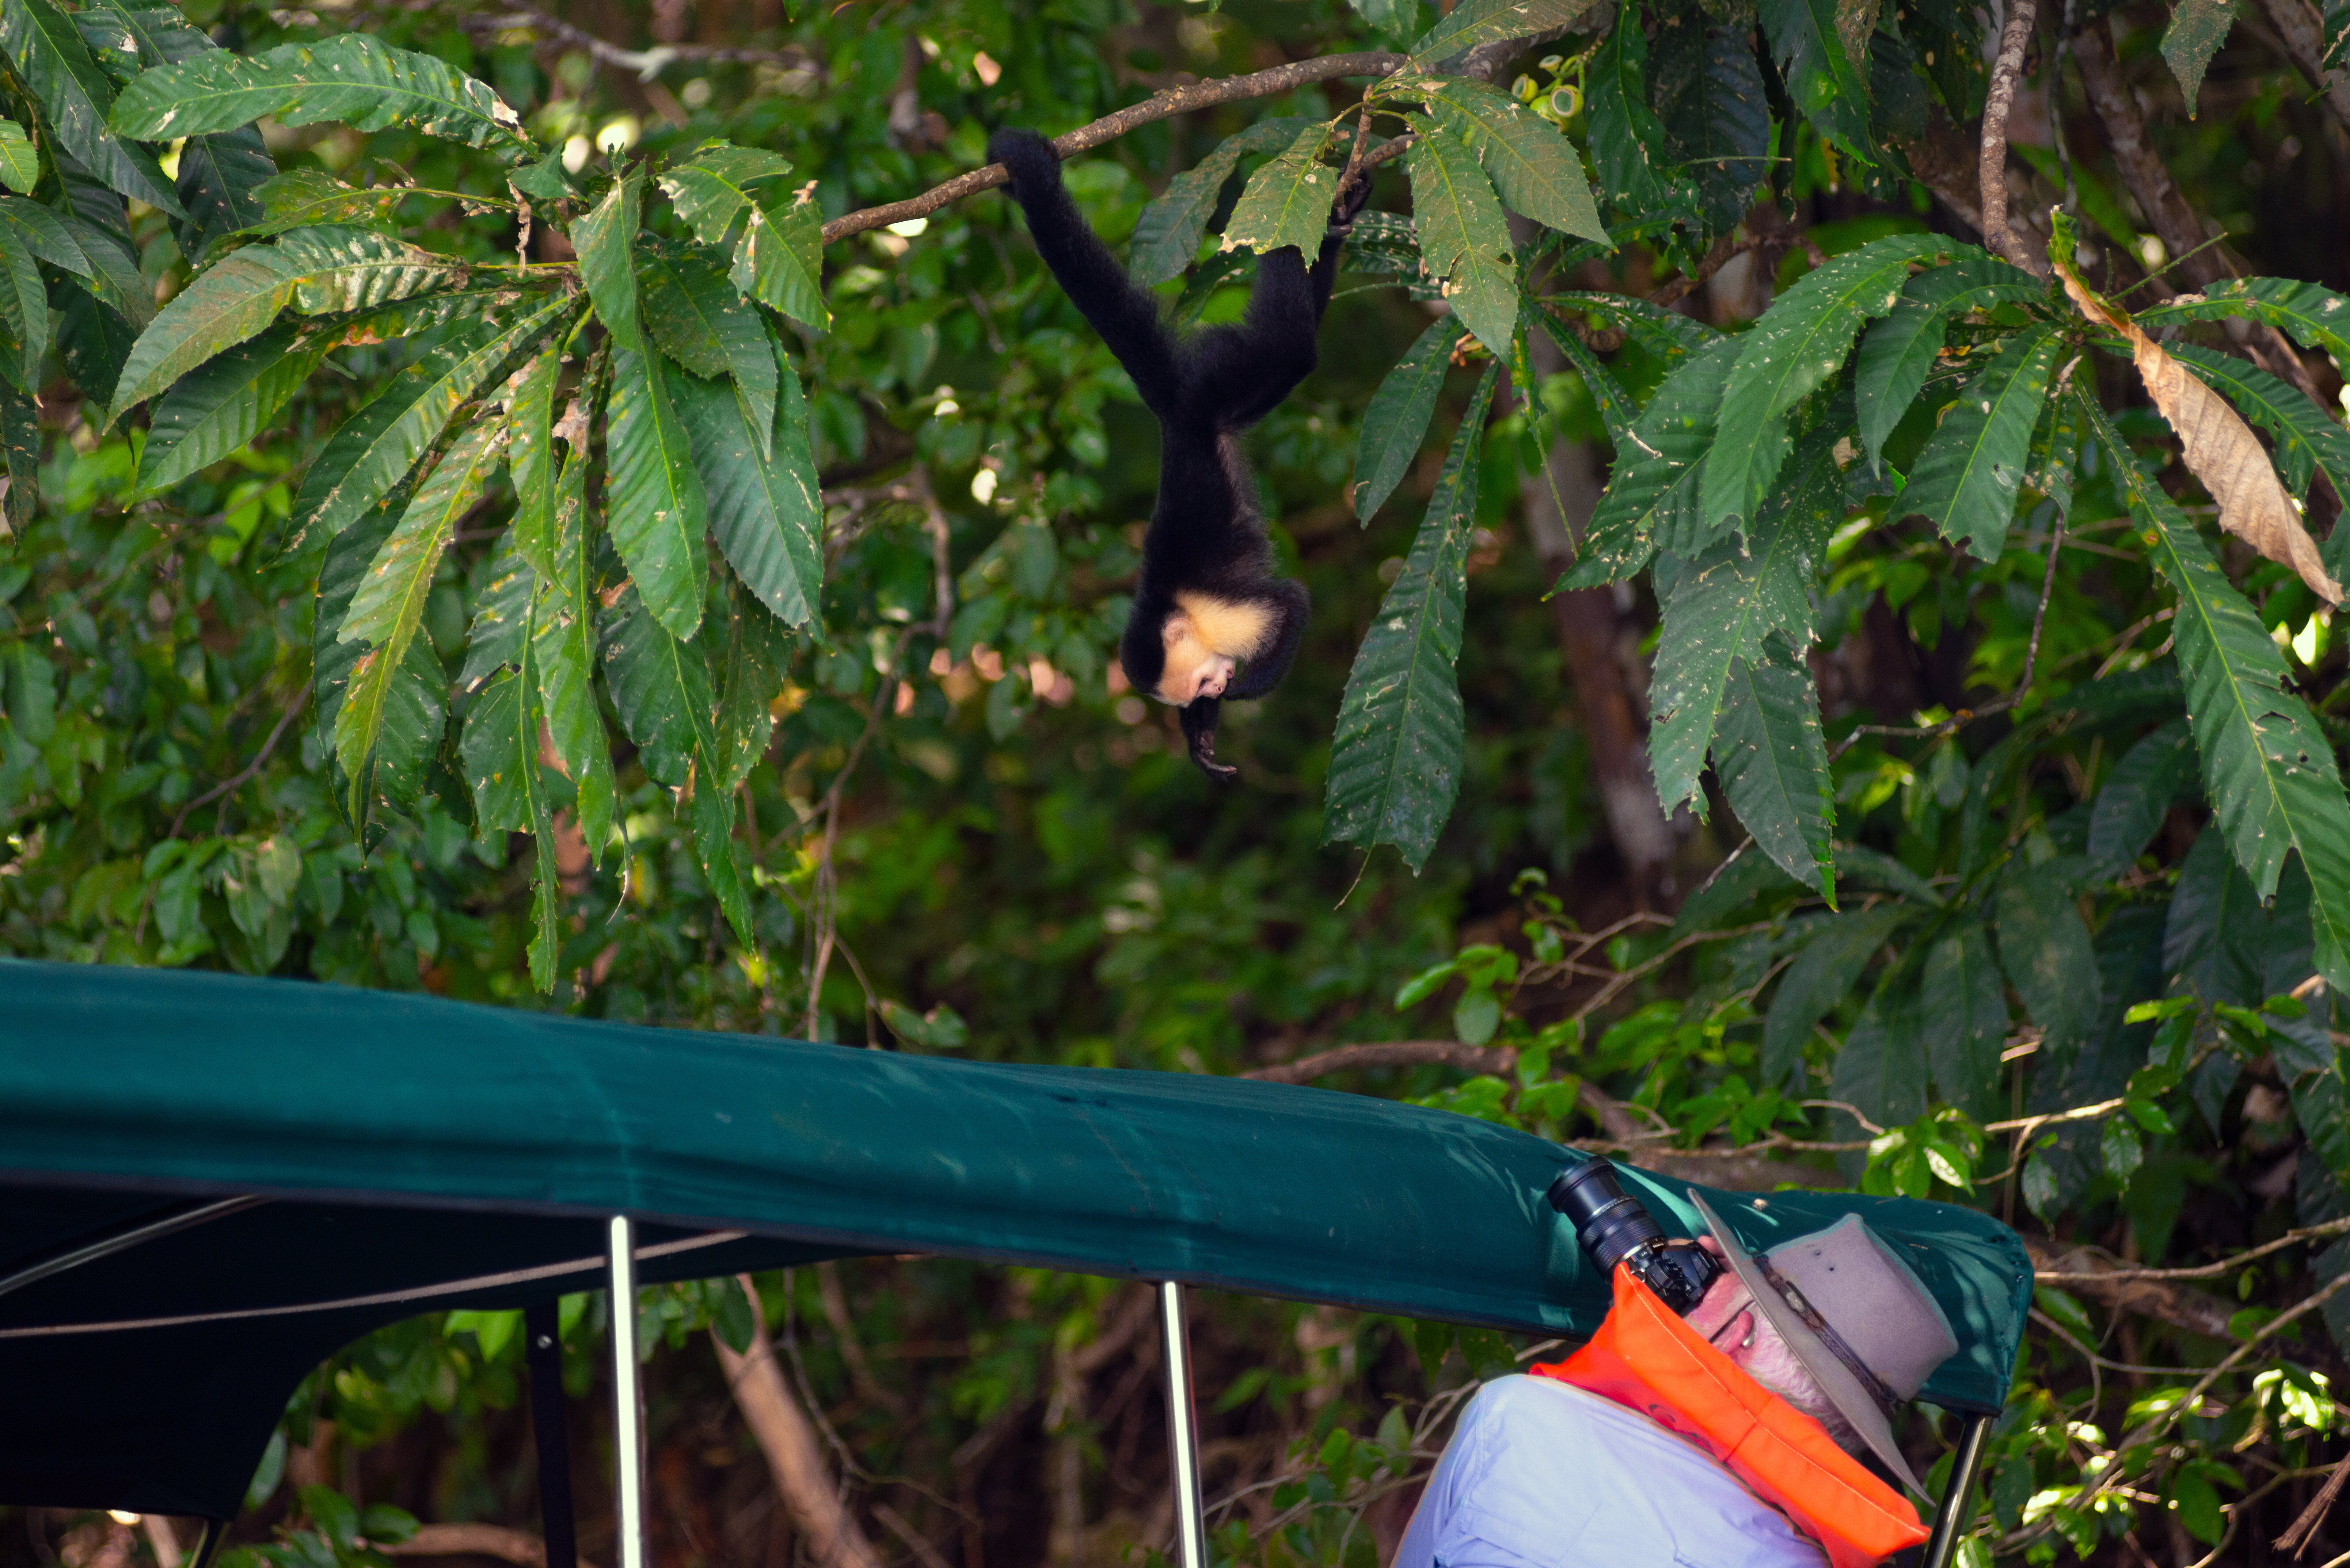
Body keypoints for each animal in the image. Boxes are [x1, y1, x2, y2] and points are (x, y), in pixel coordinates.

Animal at [987, 128, 1367, 782]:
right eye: (1196, 691)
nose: (1210, 691)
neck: (1175, 612)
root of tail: (1173, 412)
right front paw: (1201, 740)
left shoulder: (1224, 616)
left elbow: (1293, 601)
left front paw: (1246, 691)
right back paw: (1335, 219)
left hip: (1216, 388)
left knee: (1289, 347)